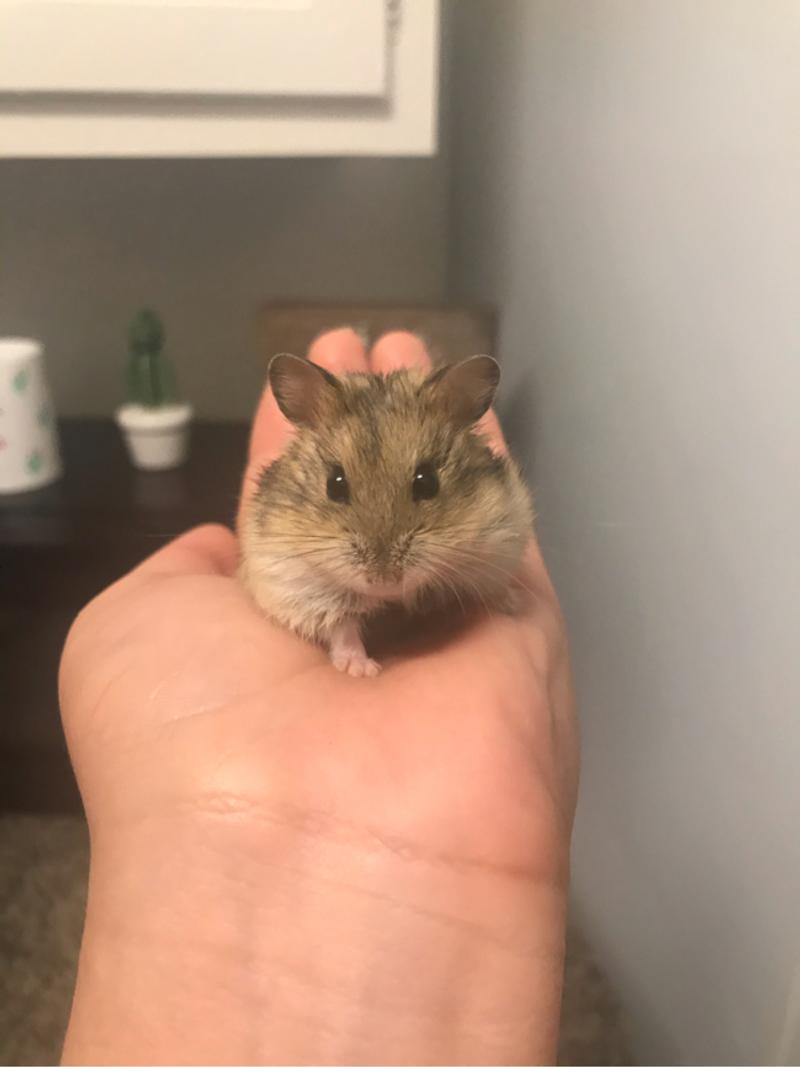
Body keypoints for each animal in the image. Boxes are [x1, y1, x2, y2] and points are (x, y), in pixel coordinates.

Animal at [238, 353, 533, 677]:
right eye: (334, 485)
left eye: (427, 482)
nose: (385, 582)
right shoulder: (296, 584)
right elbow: (342, 629)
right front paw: (361, 670)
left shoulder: (501, 543)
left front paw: (513, 603)